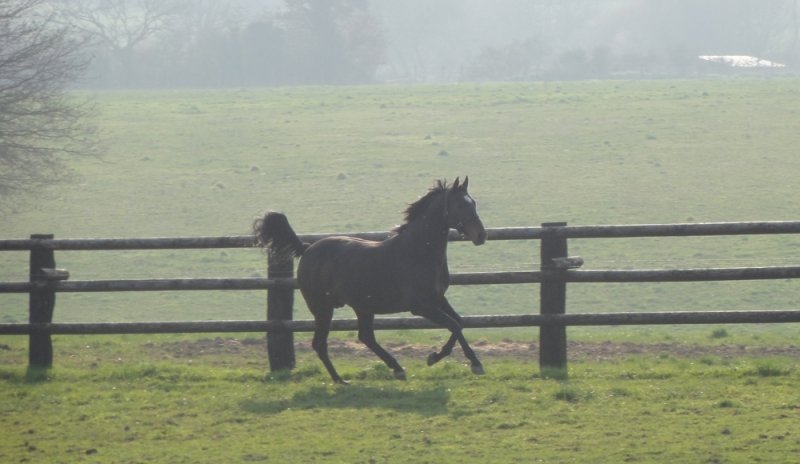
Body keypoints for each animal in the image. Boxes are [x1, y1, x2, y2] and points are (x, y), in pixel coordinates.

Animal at [253, 177, 487, 384]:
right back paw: (341, 380)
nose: (481, 235)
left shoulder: (438, 299)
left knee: (365, 336)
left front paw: (461, 360)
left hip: (362, 306)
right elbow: (453, 325)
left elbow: (459, 323)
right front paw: (451, 360)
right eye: (460, 205)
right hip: (322, 308)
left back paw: (396, 369)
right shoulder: (421, 306)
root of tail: (307, 248)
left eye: (474, 203)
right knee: (320, 343)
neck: (418, 252)